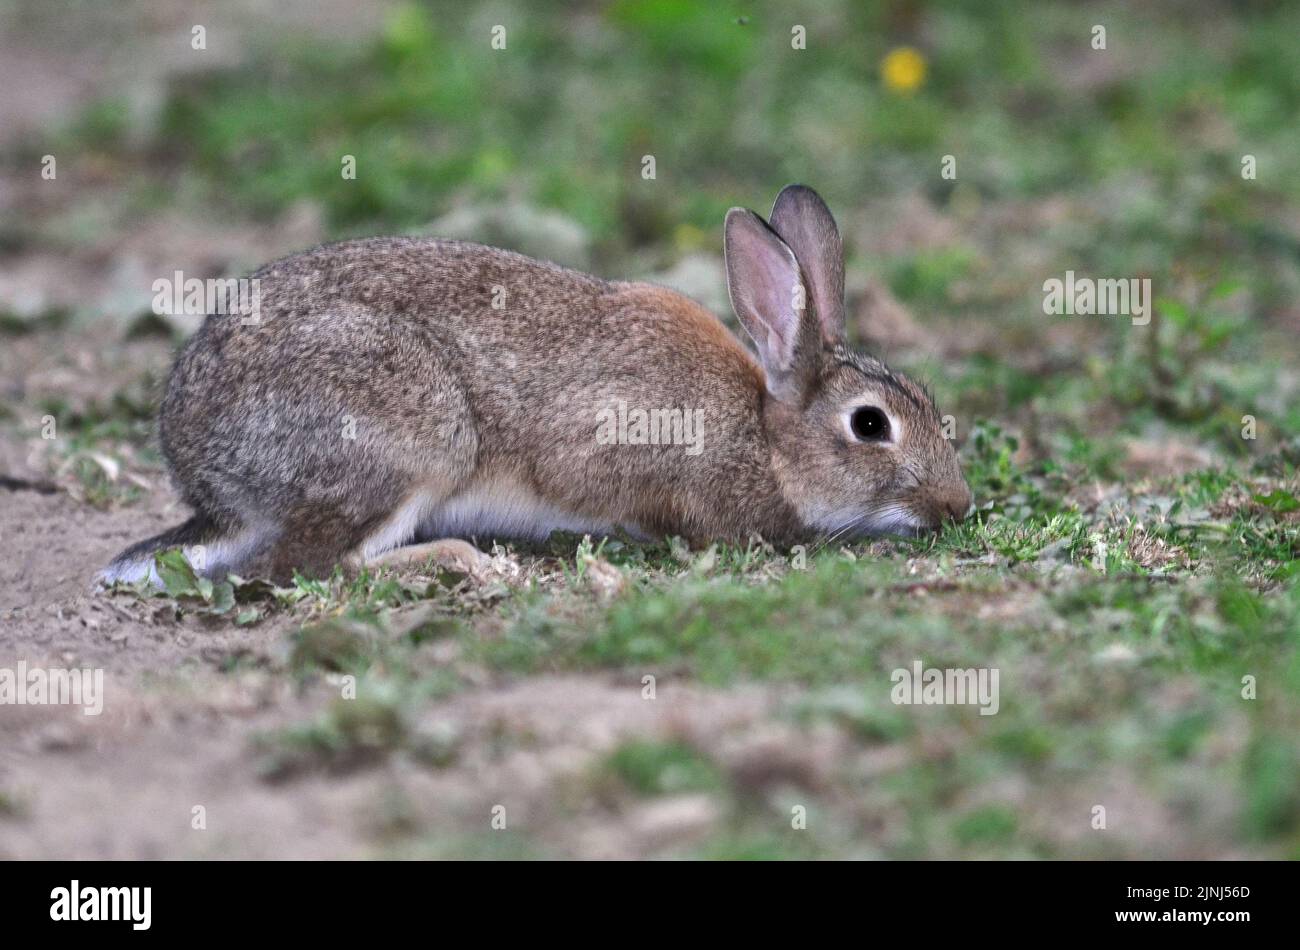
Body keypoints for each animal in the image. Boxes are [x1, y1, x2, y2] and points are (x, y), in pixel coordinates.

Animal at [101, 184, 972, 587]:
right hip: (409, 441)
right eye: (870, 425)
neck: (766, 433)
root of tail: (212, 486)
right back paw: (465, 559)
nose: (959, 506)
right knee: (311, 565)